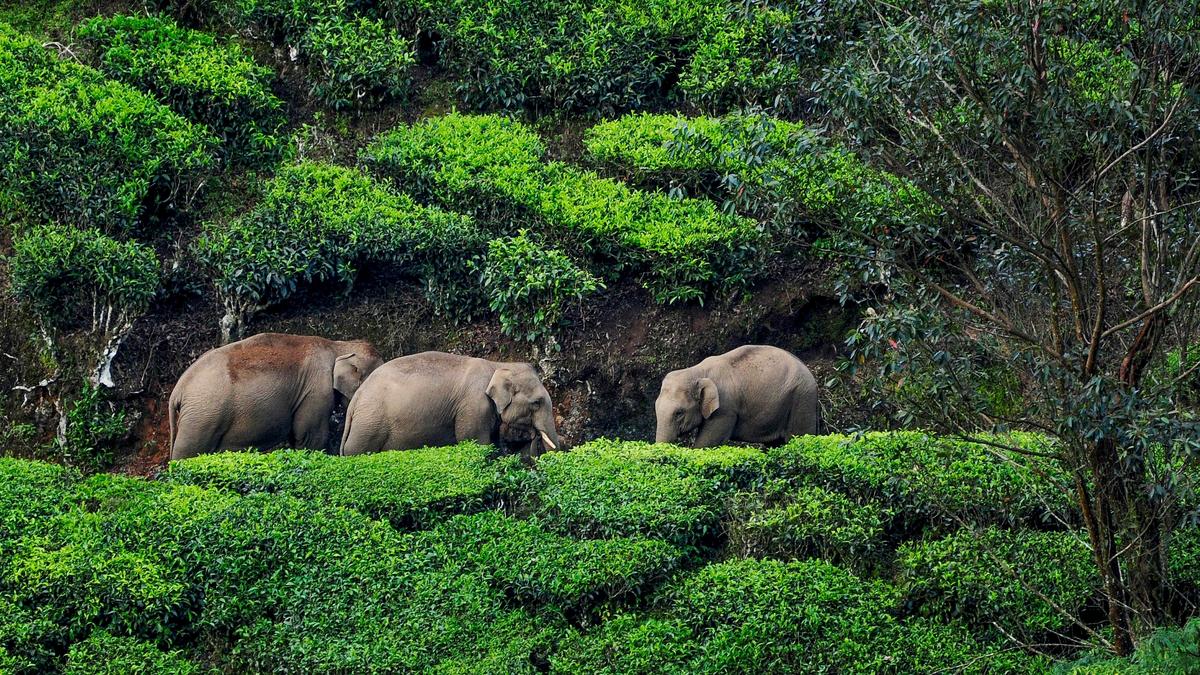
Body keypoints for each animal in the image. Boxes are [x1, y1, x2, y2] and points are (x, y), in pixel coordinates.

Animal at [169, 333, 384, 460]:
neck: (337, 346)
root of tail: (178, 389)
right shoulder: (316, 391)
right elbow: (310, 438)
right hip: (202, 416)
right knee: (186, 453)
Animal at [340, 351, 560, 456]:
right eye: (537, 403)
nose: (535, 437)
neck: (497, 365)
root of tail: (355, 401)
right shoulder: (473, 406)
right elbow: (476, 442)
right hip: (368, 427)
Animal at [655, 345, 819, 448]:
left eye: (679, 413)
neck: (698, 371)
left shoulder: (725, 409)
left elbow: (709, 442)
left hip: (802, 398)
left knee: (799, 436)